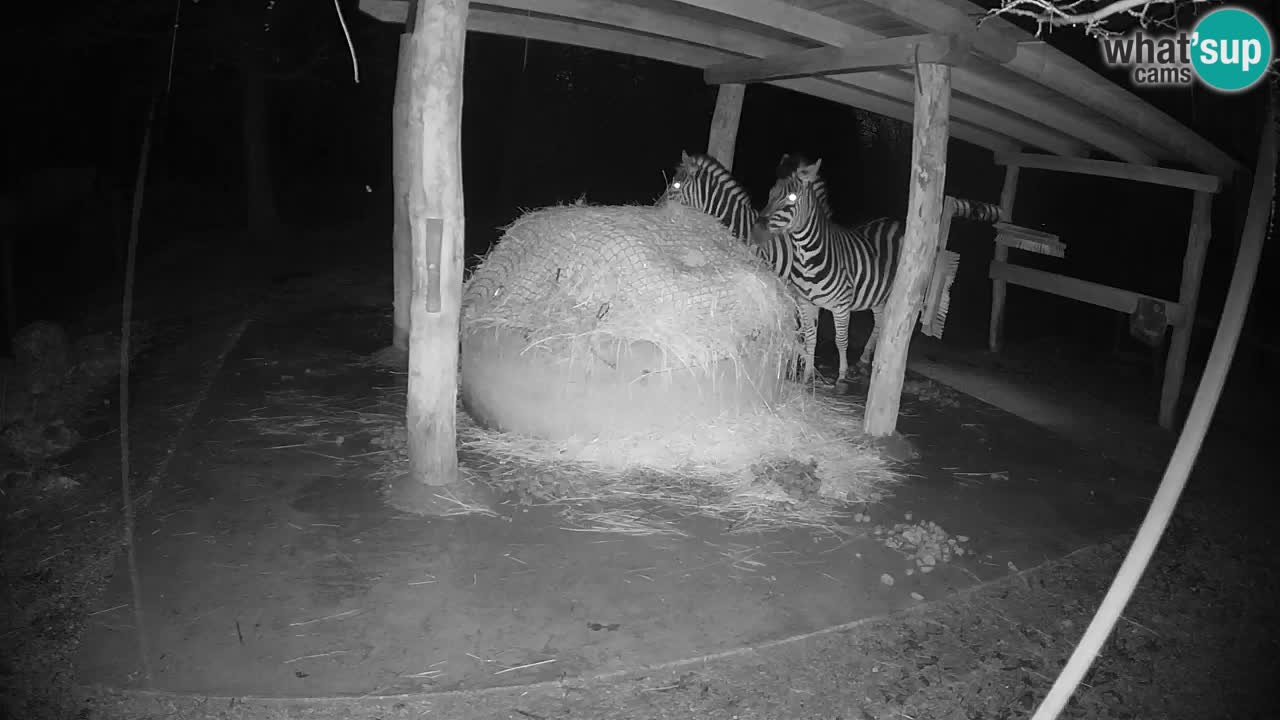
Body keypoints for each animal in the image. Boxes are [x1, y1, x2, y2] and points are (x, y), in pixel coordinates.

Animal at [758, 156, 993, 386]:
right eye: (770, 193)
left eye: (791, 198)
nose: (758, 227)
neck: (808, 256)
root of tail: (898, 223)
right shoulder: (807, 303)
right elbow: (810, 338)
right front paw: (807, 376)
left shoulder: (841, 306)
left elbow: (841, 340)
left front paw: (841, 376)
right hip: (878, 296)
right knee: (880, 324)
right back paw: (864, 360)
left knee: (885, 327)